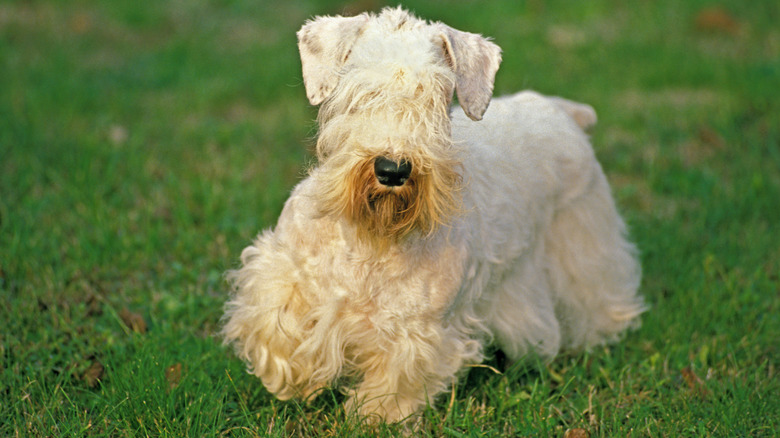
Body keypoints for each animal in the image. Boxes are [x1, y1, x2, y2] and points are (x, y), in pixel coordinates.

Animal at [221, 6, 644, 422]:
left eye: (436, 96)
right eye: (360, 91)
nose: (392, 170)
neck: (370, 238)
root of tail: (562, 111)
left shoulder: (418, 328)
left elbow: (396, 378)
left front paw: (374, 416)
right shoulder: (282, 273)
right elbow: (277, 326)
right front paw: (294, 380)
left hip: (584, 247)